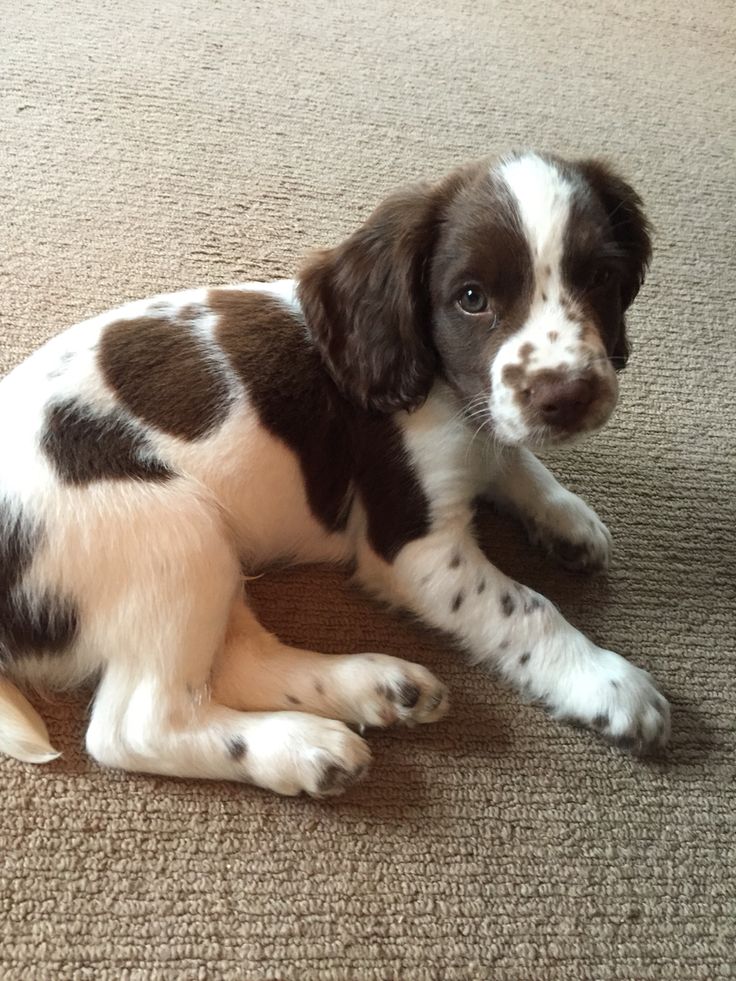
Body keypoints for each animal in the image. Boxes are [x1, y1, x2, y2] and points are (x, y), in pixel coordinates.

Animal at [0, 153, 668, 796]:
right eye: (472, 297)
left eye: (600, 278)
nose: (568, 396)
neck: (440, 388)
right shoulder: (415, 550)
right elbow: (527, 606)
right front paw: (608, 683)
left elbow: (516, 461)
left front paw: (568, 518)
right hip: (171, 532)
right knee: (138, 726)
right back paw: (304, 750)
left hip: (208, 553)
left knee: (235, 663)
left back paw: (375, 689)